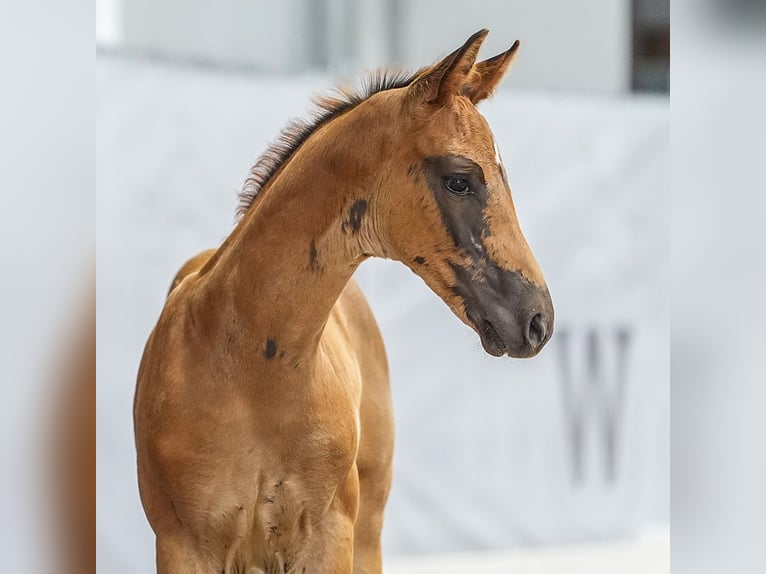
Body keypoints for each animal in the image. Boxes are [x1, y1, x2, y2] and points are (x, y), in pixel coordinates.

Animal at [135, 28, 556, 574]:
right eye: (459, 179)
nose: (537, 319)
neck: (250, 374)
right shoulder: (181, 545)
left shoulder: (331, 538)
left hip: (368, 532)